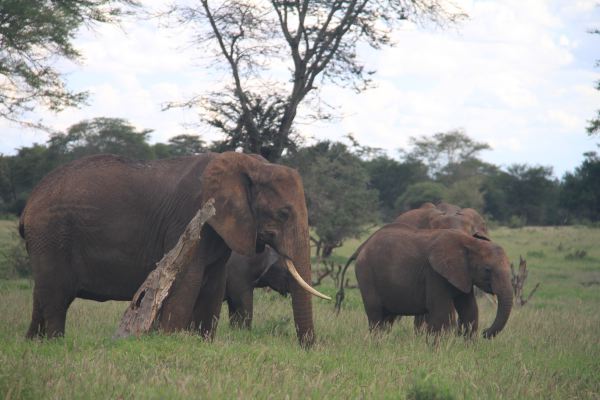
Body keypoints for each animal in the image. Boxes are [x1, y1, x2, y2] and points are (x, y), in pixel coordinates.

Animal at [18, 152, 328, 346]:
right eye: (284, 213)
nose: (308, 348)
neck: (249, 163)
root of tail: (29, 203)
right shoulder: (189, 219)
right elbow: (186, 284)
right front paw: (171, 341)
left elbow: (213, 287)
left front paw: (201, 344)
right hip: (52, 236)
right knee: (57, 299)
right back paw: (55, 344)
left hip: (45, 242)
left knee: (41, 297)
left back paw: (34, 343)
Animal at [354, 228, 512, 338]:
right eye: (487, 270)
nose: (485, 333)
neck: (469, 242)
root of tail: (363, 247)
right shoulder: (434, 274)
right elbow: (442, 312)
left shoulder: (464, 275)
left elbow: (470, 310)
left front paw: (469, 348)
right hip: (366, 275)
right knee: (376, 315)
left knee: (388, 317)